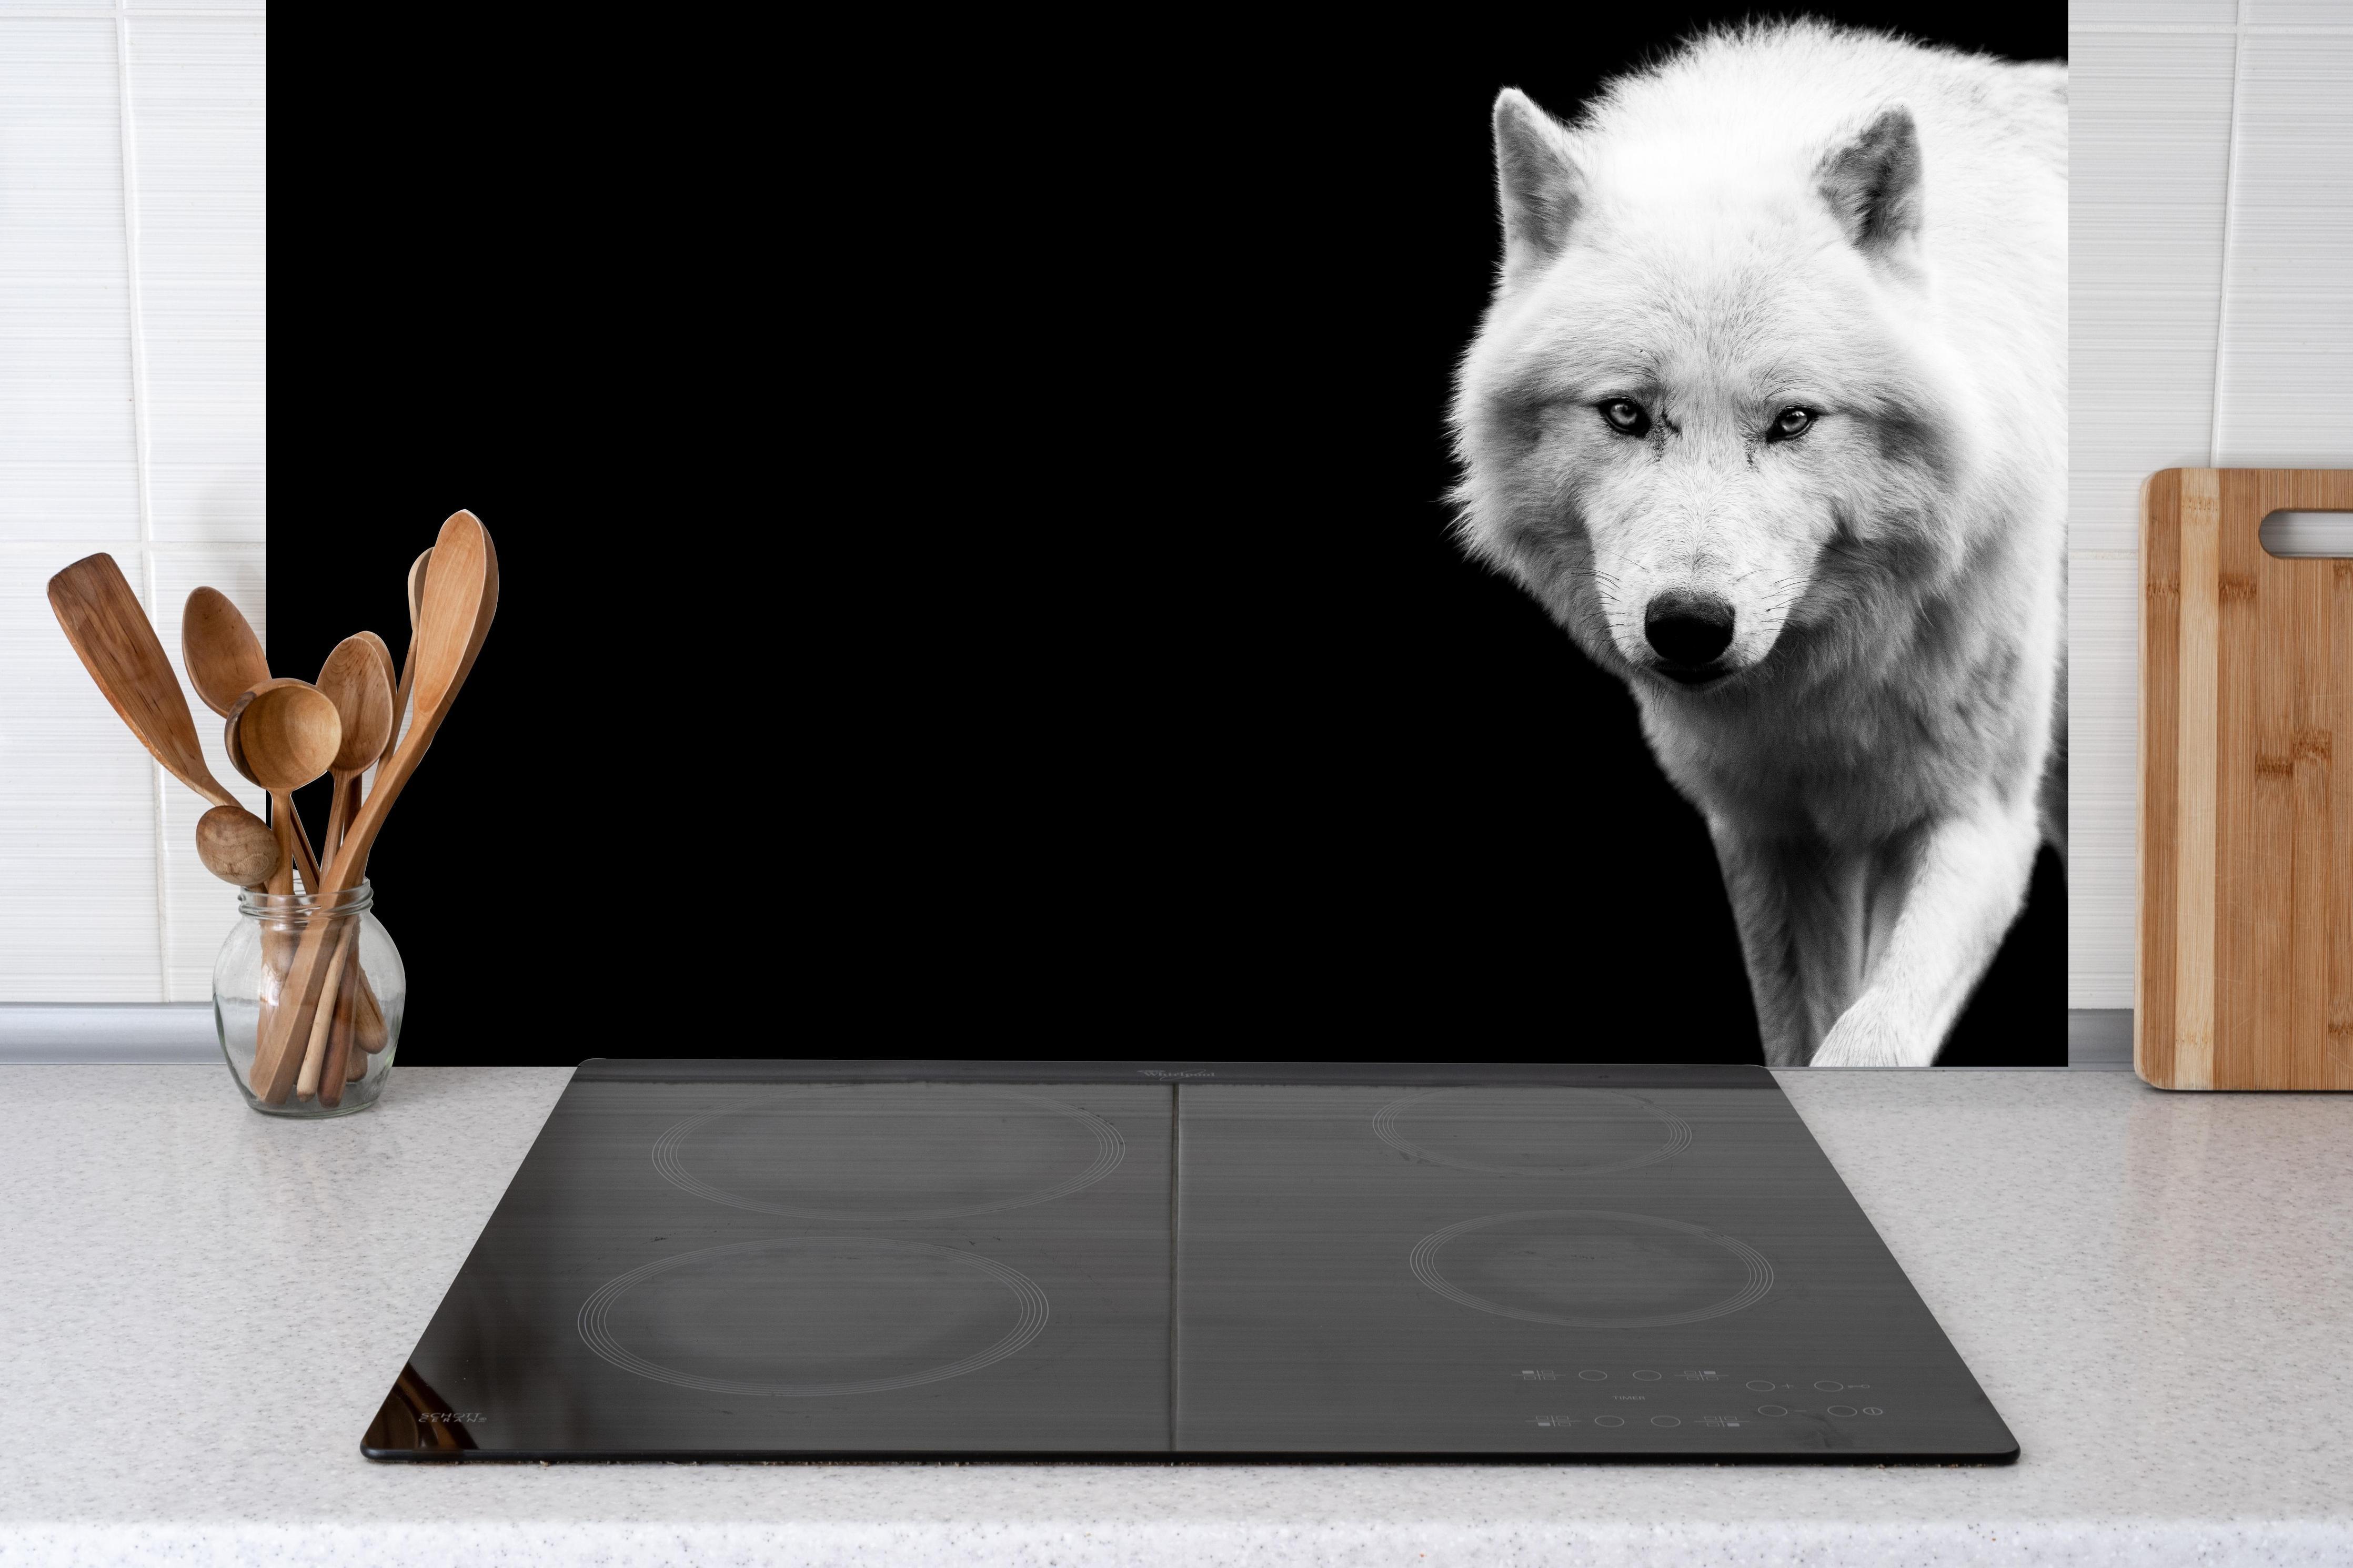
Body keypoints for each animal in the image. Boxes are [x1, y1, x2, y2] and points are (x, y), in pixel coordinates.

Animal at [1450, 23, 2066, 1066]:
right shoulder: (1771, 832)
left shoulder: (1978, 822)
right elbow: (1799, 1034)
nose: (1690, 626)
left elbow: (1866, 1043)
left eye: (1792, 422)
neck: (1829, 686)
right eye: (1626, 414)